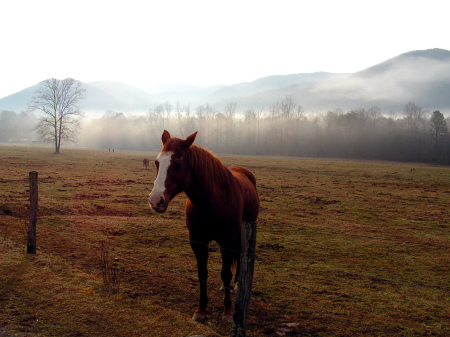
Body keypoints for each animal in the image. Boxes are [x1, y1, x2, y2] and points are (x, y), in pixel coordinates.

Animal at [149, 130, 260, 322]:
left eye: (178, 163)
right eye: (157, 162)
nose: (156, 200)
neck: (210, 202)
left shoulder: (227, 241)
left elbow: (225, 273)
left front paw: (227, 312)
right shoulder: (197, 241)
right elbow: (202, 273)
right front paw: (201, 309)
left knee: (239, 257)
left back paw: (237, 285)